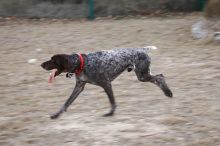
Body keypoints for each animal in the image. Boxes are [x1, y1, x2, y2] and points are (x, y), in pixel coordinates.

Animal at [40, 47, 172, 119]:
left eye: (53, 60)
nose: (41, 64)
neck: (81, 63)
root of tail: (143, 49)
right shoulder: (79, 87)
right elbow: (66, 103)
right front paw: (56, 115)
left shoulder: (106, 84)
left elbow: (112, 102)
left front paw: (110, 113)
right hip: (143, 75)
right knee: (159, 77)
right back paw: (167, 93)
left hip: (142, 75)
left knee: (160, 77)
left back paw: (168, 93)